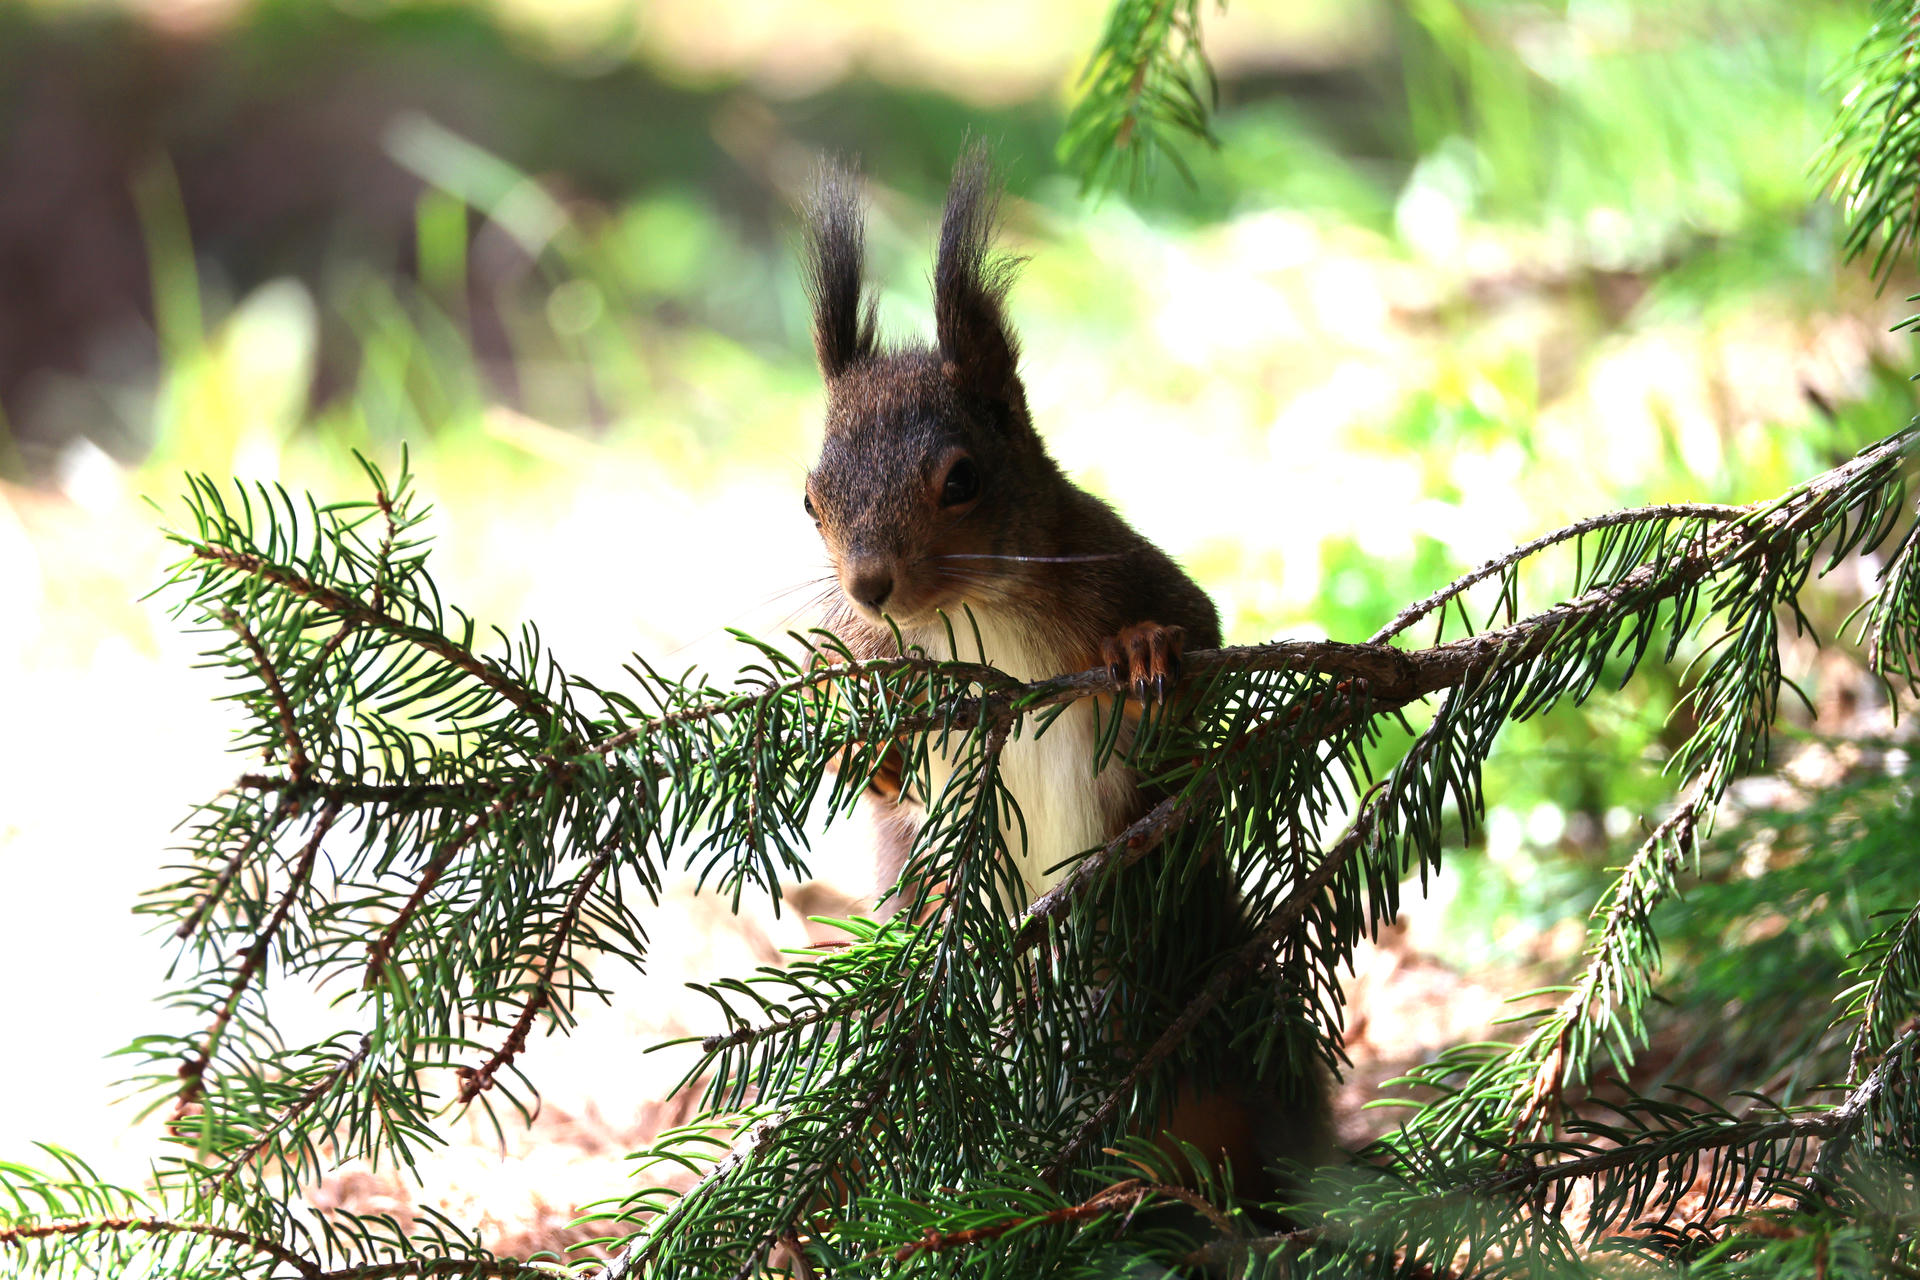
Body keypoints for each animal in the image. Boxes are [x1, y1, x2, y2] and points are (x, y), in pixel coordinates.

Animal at [796, 146, 1329, 1210]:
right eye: (810, 500)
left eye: (962, 479)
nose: (871, 586)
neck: (975, 618)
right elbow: (866, 754)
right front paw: (857, 719)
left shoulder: (1123, 570)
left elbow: (1195, 642)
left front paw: (1144, 653)